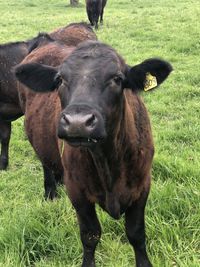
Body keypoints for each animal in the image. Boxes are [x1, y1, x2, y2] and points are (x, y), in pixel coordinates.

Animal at [15, 39, 172, 266]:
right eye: (60, 79)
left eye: (117, 78)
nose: (78, 122)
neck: (108, 161)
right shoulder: (77, 193)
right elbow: (90, 235)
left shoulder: (142, 186)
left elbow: (136, 233)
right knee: (45, 163)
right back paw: (50, 192)